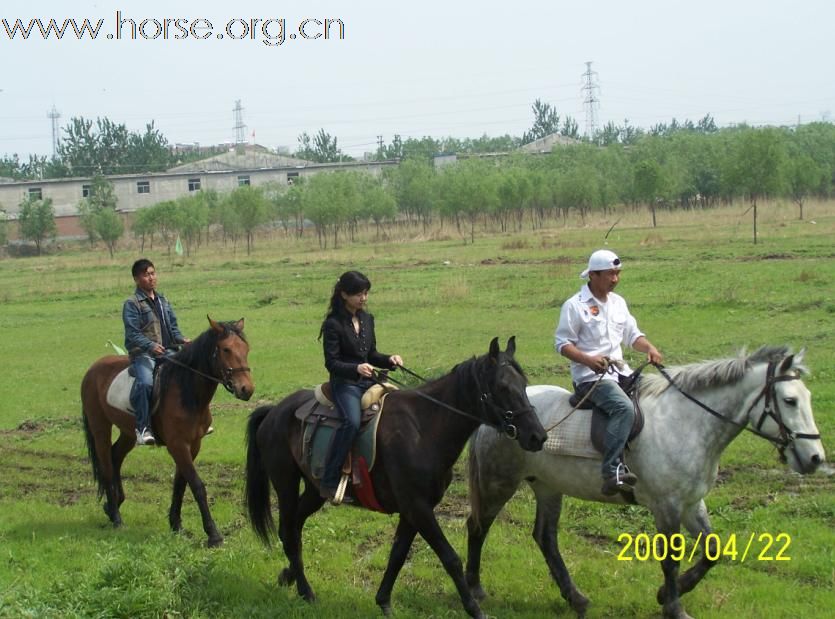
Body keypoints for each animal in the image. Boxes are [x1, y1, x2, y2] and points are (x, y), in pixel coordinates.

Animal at [80, 320, 253, 548]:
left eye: (245, 349)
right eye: (226, 349)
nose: (246, 389)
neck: (186, 391)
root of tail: (93, 368)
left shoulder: (193, 445)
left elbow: (180, 484)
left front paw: (176, 525)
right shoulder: (177, 445)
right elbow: (197, 485)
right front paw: (213, 534)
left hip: (128, 432)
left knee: (115, 456)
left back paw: (112, 505)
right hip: (100, 425)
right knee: (107, 466)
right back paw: (116, 518)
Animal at [245, 340, 552, 619]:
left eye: (523, 384)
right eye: (502, 387)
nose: (537, 436)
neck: (424, 428)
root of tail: (274, 411)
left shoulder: (412, 510)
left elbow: (398, 555)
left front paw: (383, 601)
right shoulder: (418, 508)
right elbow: (450, 557)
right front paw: (474, 609)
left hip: (314, 489)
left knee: (294, 529)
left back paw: (289, 576)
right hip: (285, 483)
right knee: (288, 531)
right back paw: (306, 591)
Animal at [466, 346, 828, 616]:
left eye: (807, 396)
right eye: (790, 400)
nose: (815, 458)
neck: (687, 423)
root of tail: (494, 417)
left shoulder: (691, 503)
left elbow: (712, 550)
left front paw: (666, 594)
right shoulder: (666, 506)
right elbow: (670, 560)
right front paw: (674, 607)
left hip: (547, 486)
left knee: (545, 537)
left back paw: (576, 598)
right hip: (499, 483)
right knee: (477, 526)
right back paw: (474, 588)